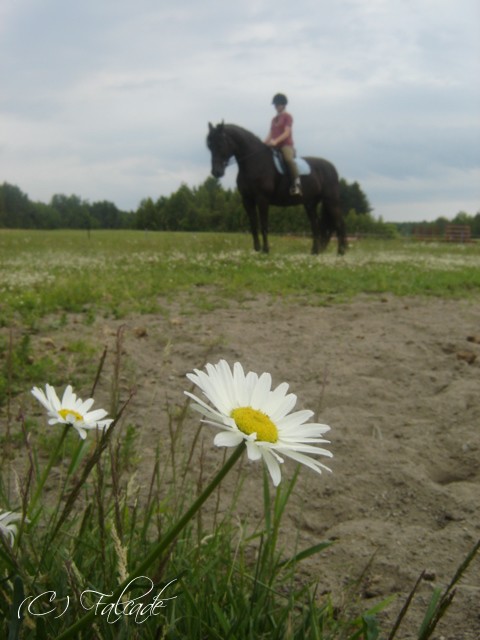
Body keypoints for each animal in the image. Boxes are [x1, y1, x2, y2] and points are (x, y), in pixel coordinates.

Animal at [205, 122, 344, 255]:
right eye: (210, 146)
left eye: (220, 144)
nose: (216, 172)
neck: (255, 162)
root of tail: (332, 168)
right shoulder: (247, 200)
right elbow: (253, 225)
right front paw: (256, 250)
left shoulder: (262, 199)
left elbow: (264, 225)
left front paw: (265, 250)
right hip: (310, 204)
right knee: (315, 226)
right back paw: (314, 252)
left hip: (331, 201)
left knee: (338, 224)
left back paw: (341, 252)